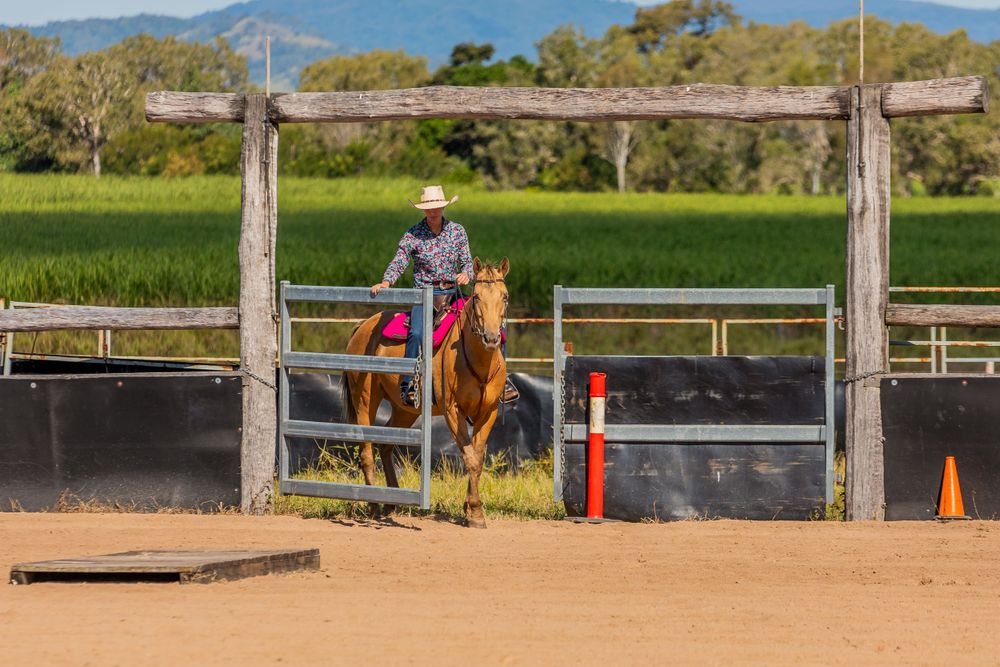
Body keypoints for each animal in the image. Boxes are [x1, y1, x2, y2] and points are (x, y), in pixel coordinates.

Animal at [342, 257, 510, 528]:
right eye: (476, 297)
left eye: (505, 296)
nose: (492, 338)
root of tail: (363, 325)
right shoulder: (452, 411)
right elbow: (470, 458)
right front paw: (475, 512)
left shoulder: (489, 411)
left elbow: (478, 457)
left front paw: (471, 509)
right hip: (365, 400)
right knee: (366, 450)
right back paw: (374, 506)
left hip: (406, 409)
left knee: (385, 443)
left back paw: (390, 501)